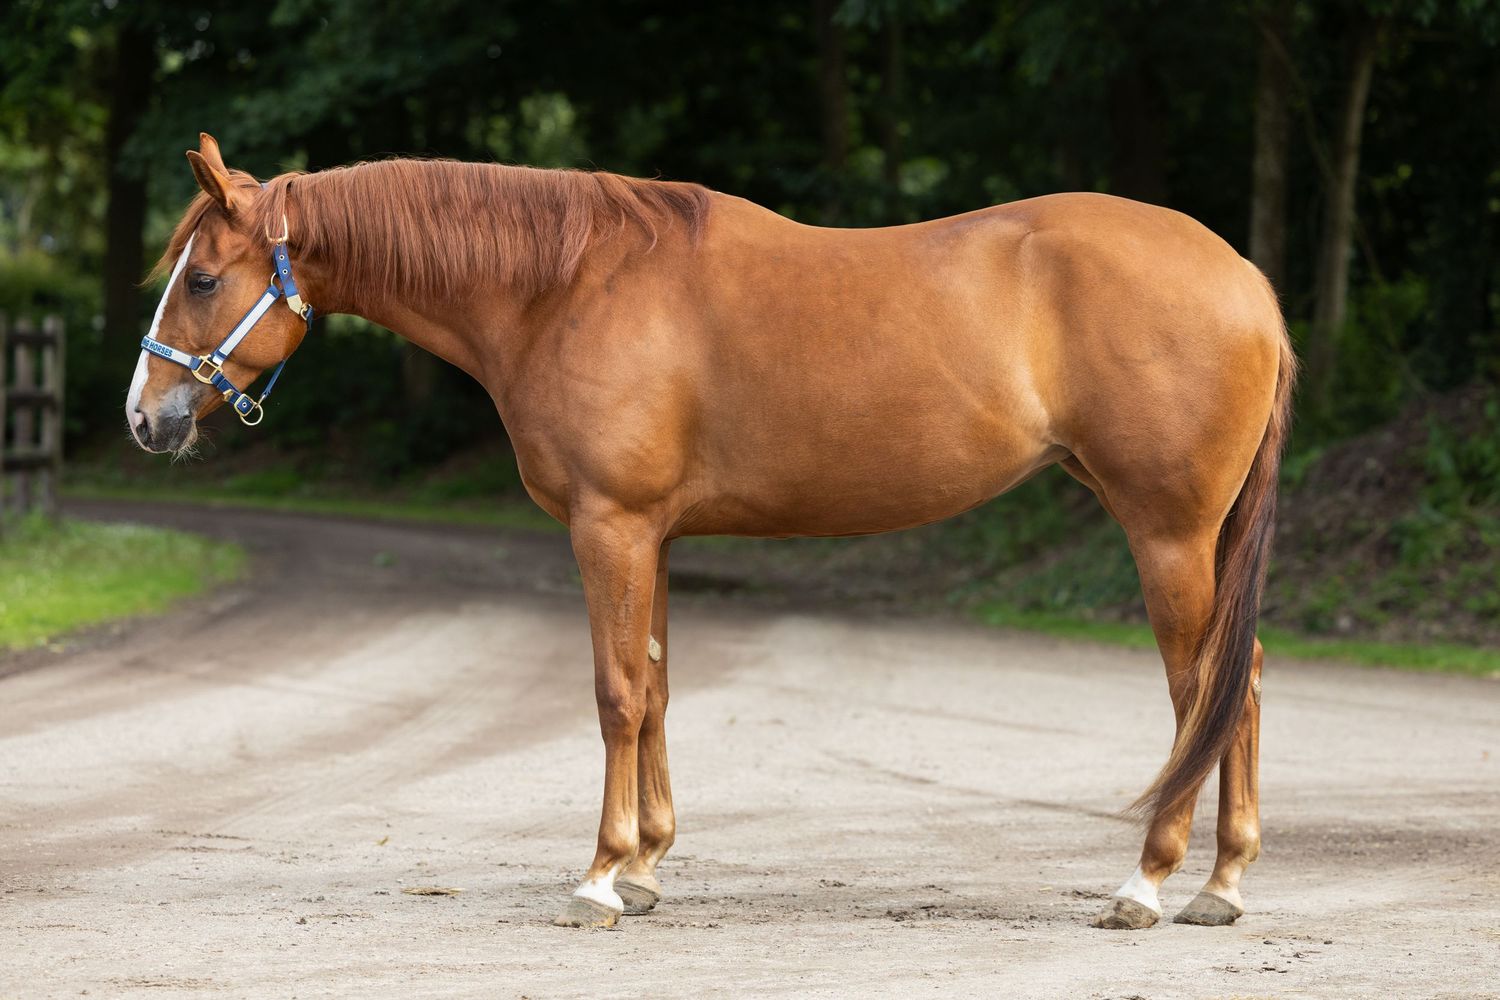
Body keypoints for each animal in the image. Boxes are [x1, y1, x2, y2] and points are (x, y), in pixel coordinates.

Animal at [126, 133, 1294, 931]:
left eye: (203, 277)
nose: (146, 418)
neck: (564, 285)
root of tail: (1246, 281)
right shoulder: (655, 537)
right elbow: (654, 688)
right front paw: (647, 865)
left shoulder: (610, 528)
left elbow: (614, 692)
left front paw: (602, 877)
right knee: (1243, 682)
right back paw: (1224, 881)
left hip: (1168, 532)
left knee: (1203, 691)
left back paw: (1148, 882)